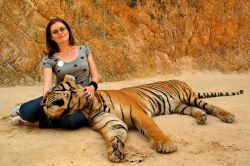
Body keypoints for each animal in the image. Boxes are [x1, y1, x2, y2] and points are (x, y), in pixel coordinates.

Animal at [41, 75, 244, 162]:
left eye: (53, 89)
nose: (42, 101)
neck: (88, 107)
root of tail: (180, 80)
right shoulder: (112, 122)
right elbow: (115, 135)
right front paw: (115, 150)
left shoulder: (138, 113)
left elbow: (152, 128)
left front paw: (165, 145)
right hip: (179, 106)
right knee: (194, 110)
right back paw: (201, 117)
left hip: (189, 97)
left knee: (210, 106)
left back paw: (227, 116)